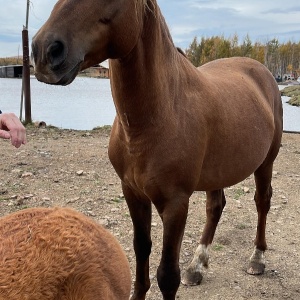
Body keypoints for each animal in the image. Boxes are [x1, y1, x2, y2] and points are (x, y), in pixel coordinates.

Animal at [31, 0, 282, 300]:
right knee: (215, 207)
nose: (45, 50)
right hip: (217, 172)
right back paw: (197, 266)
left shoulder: (175, 204)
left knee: (262, 202)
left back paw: (257, 258)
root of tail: (264, 72)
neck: (160, 113)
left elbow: (167, 275)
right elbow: (141, 253)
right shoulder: (133, 193)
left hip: (266, 163)